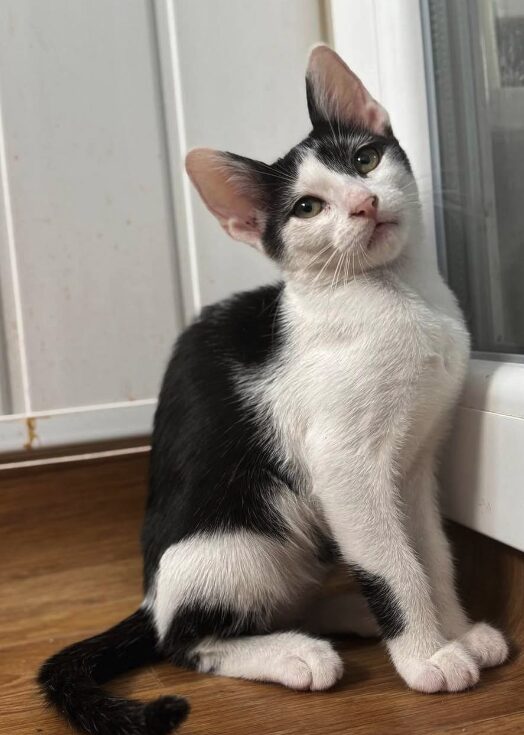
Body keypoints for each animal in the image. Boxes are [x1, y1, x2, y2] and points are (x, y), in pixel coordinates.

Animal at [39, 46, 510, 735]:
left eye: (365, 159)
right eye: (307, 208)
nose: (363, 204)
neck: (400, 296)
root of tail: (151, 596)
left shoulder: (415, 464)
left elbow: (431, 551)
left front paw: (458, 631)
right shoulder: (342, 464)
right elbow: (392, 564)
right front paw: (427, 656)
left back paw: (347, 617)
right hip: (241, 541)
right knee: (186, 641)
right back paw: (296, 654)